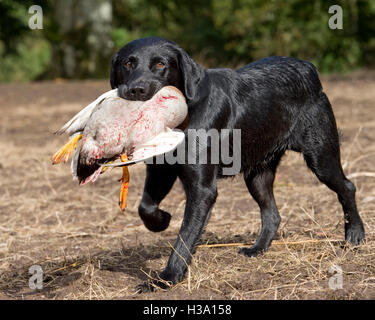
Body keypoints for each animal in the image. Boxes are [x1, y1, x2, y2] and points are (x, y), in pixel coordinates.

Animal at [110, 36, 366, 292]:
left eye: (160, 64)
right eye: (128, 64)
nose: (137, 90)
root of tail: (307, 66)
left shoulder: (202, 189)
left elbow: (185, 236)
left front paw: (166, 279)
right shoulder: (160, 169)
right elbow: (145, 207)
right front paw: (162, 220)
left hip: (320, 157)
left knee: (347, 187)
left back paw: (355, 235)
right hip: (257, 176)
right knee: (272, 214)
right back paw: (258, 249)